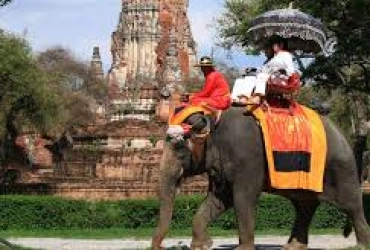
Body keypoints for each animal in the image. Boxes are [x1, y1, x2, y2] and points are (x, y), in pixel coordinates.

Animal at [152, 107, 370, 250]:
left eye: (179, 147)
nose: (162, 247)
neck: (214, 121)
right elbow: (218, 200)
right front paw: (200, 246)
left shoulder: (248, 158)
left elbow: (243, 198)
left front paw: (242, 249)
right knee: (305, 206)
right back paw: (292, 247)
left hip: (342, 169)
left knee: (352, 205)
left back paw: (360, 246)